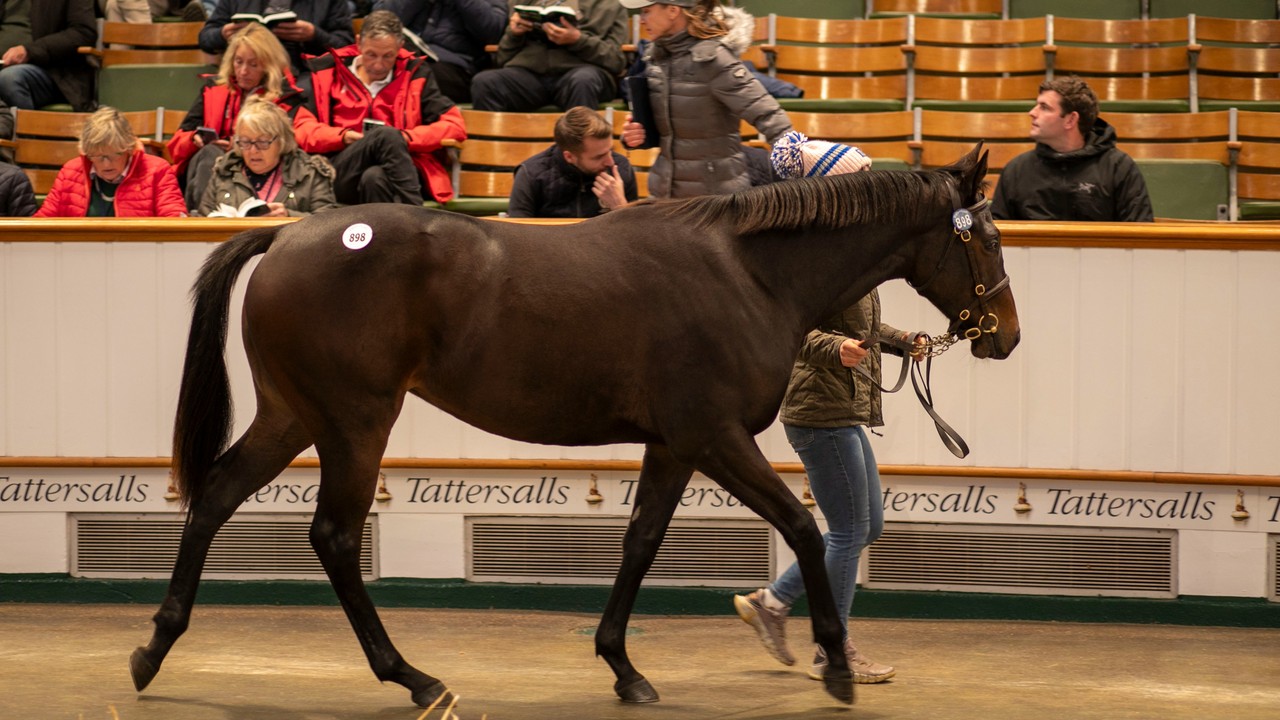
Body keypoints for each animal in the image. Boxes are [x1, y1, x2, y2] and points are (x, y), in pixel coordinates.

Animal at [129, 141, 1018, 707]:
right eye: (987, 238)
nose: (1004, 335)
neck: (747, 273)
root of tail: (287, 231)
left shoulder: (673, 444)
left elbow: (641, 542)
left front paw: (622, 666)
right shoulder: (715, 436)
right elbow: (802, 527)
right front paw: (835, 666)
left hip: (293, 416)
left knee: (215, 498)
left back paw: (152, 650)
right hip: (355, 422)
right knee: (336, 538)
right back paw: (412, 678)